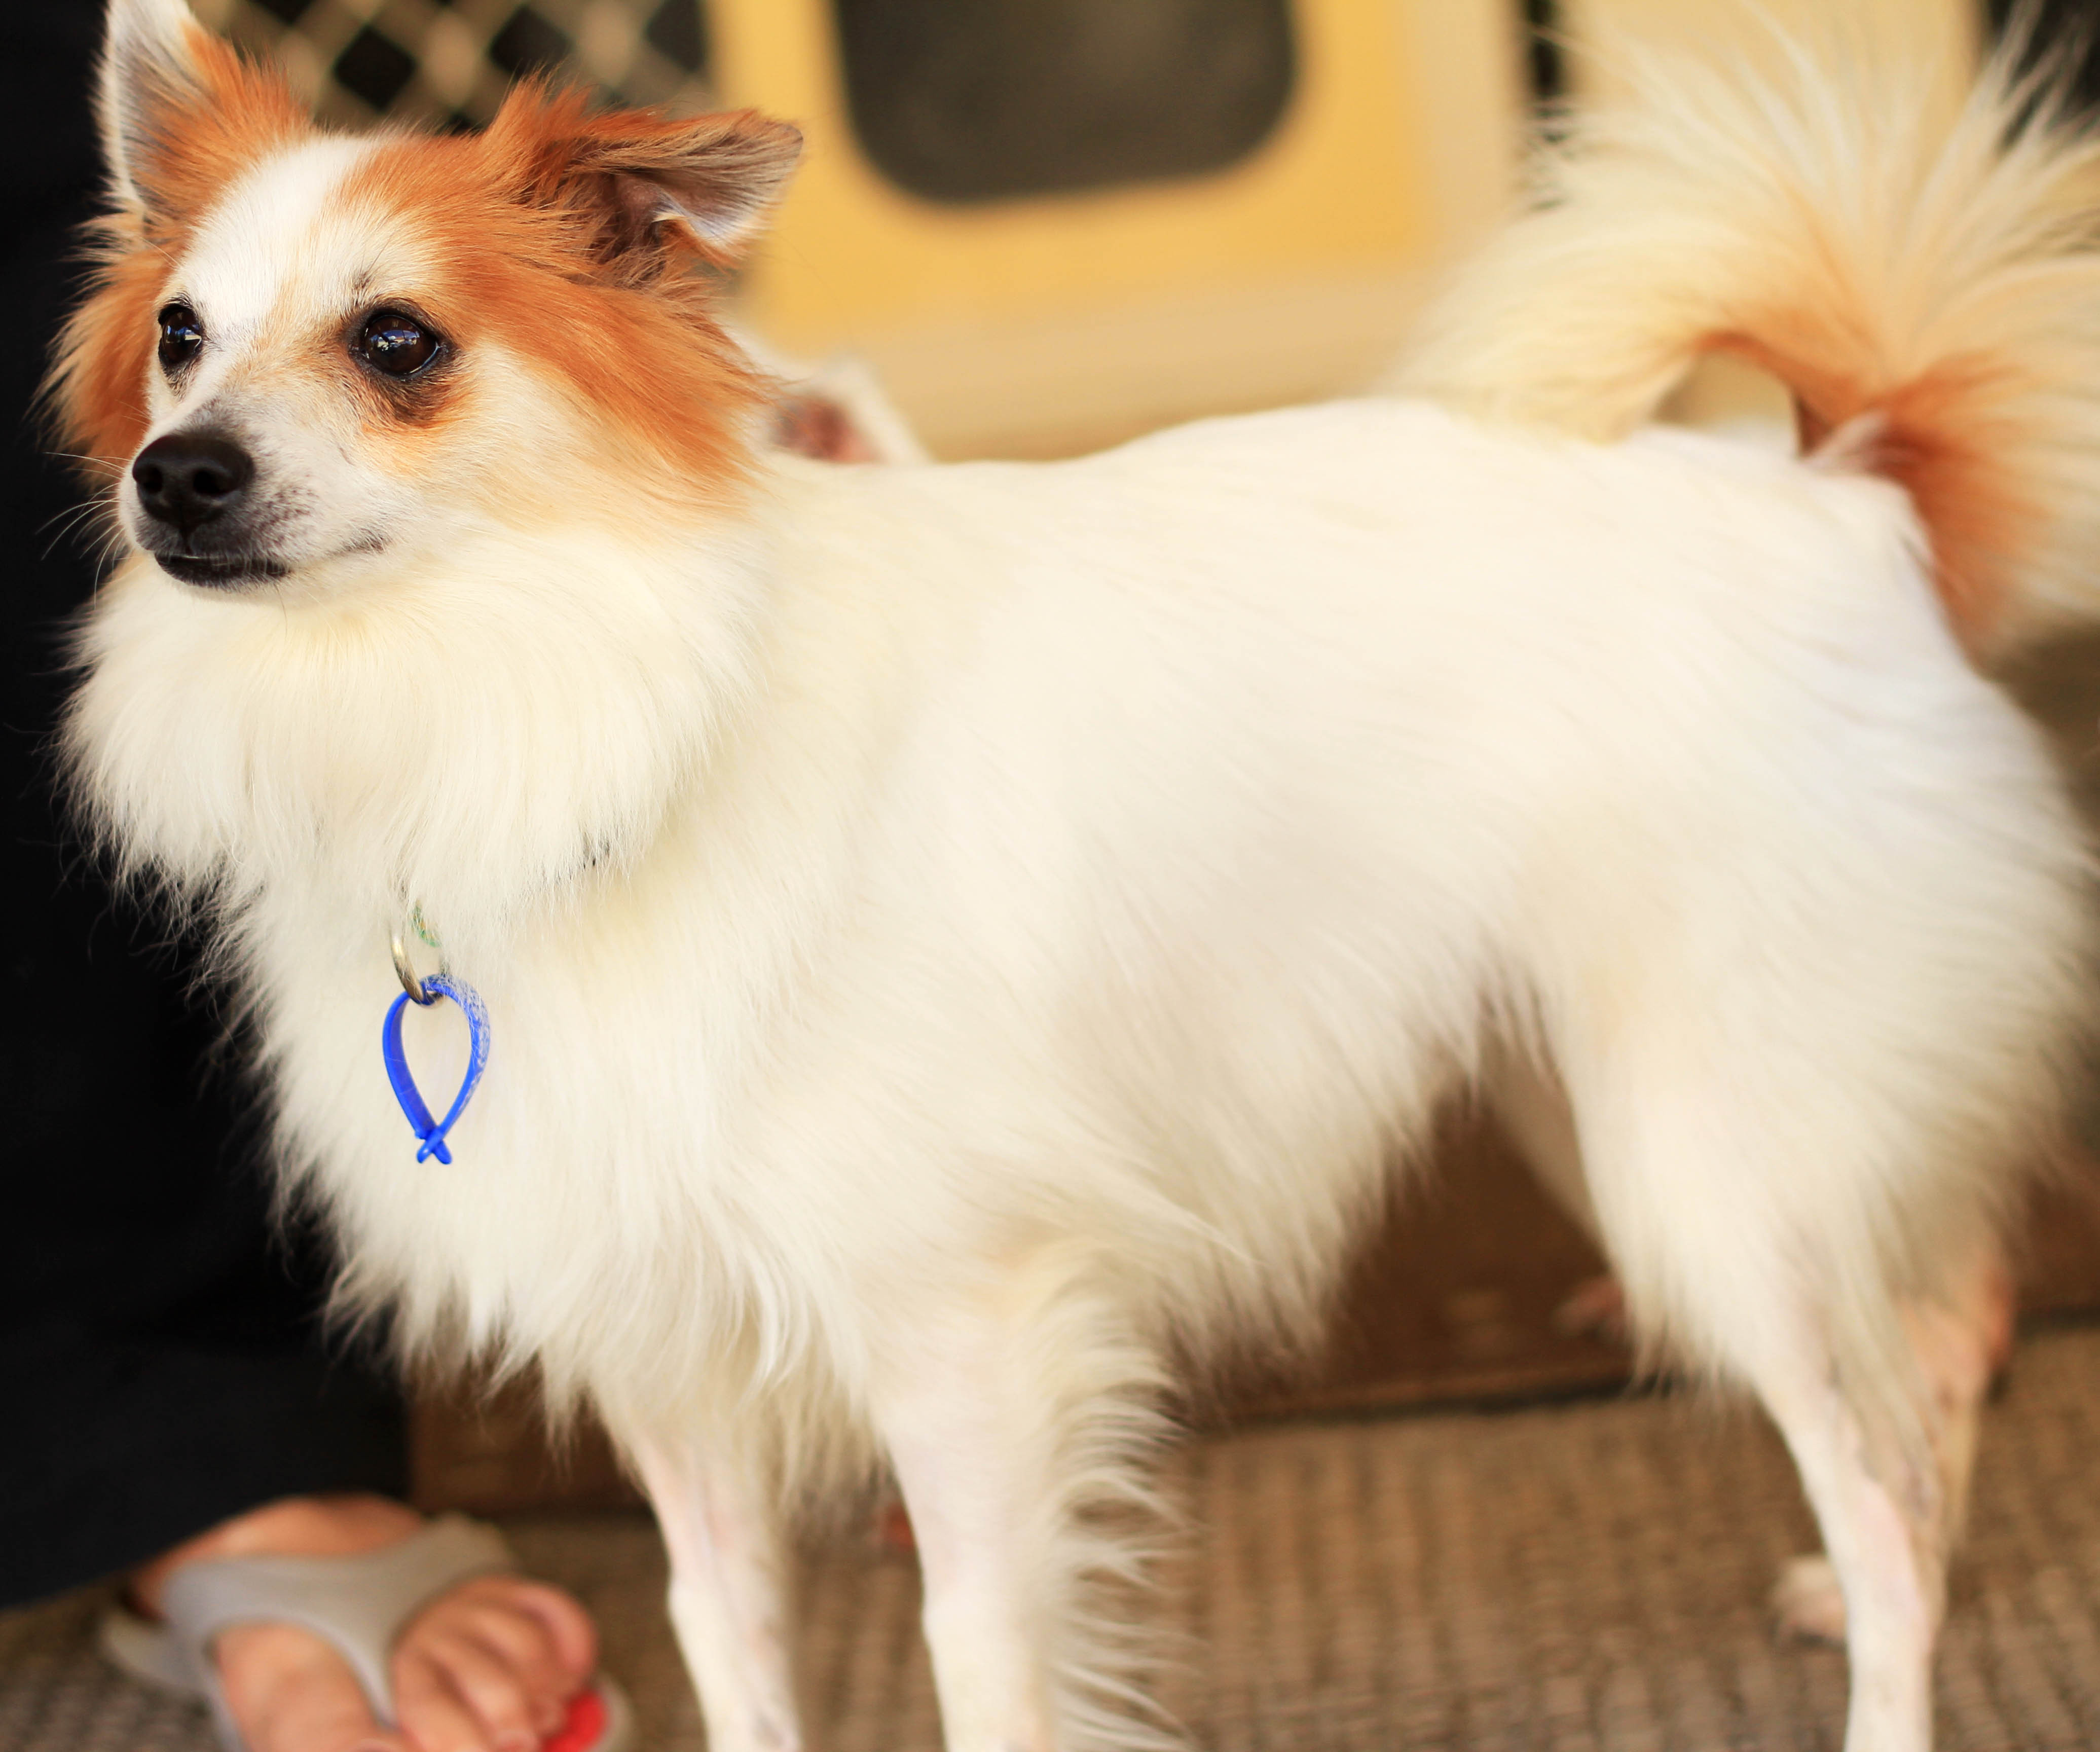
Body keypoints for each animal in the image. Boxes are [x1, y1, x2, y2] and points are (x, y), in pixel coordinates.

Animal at [55, 5, 2100, 1748]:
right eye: (178, 339)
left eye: (400, 344)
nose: (176, 476)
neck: (545, 713)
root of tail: (1840, 495)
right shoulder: (670, 1371)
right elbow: (730, 1651)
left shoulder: (964, 1350)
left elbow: (978, 1663)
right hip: (1594, 1098)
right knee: (1928, 1354)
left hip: (1715, 1178)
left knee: (1886, 1476)